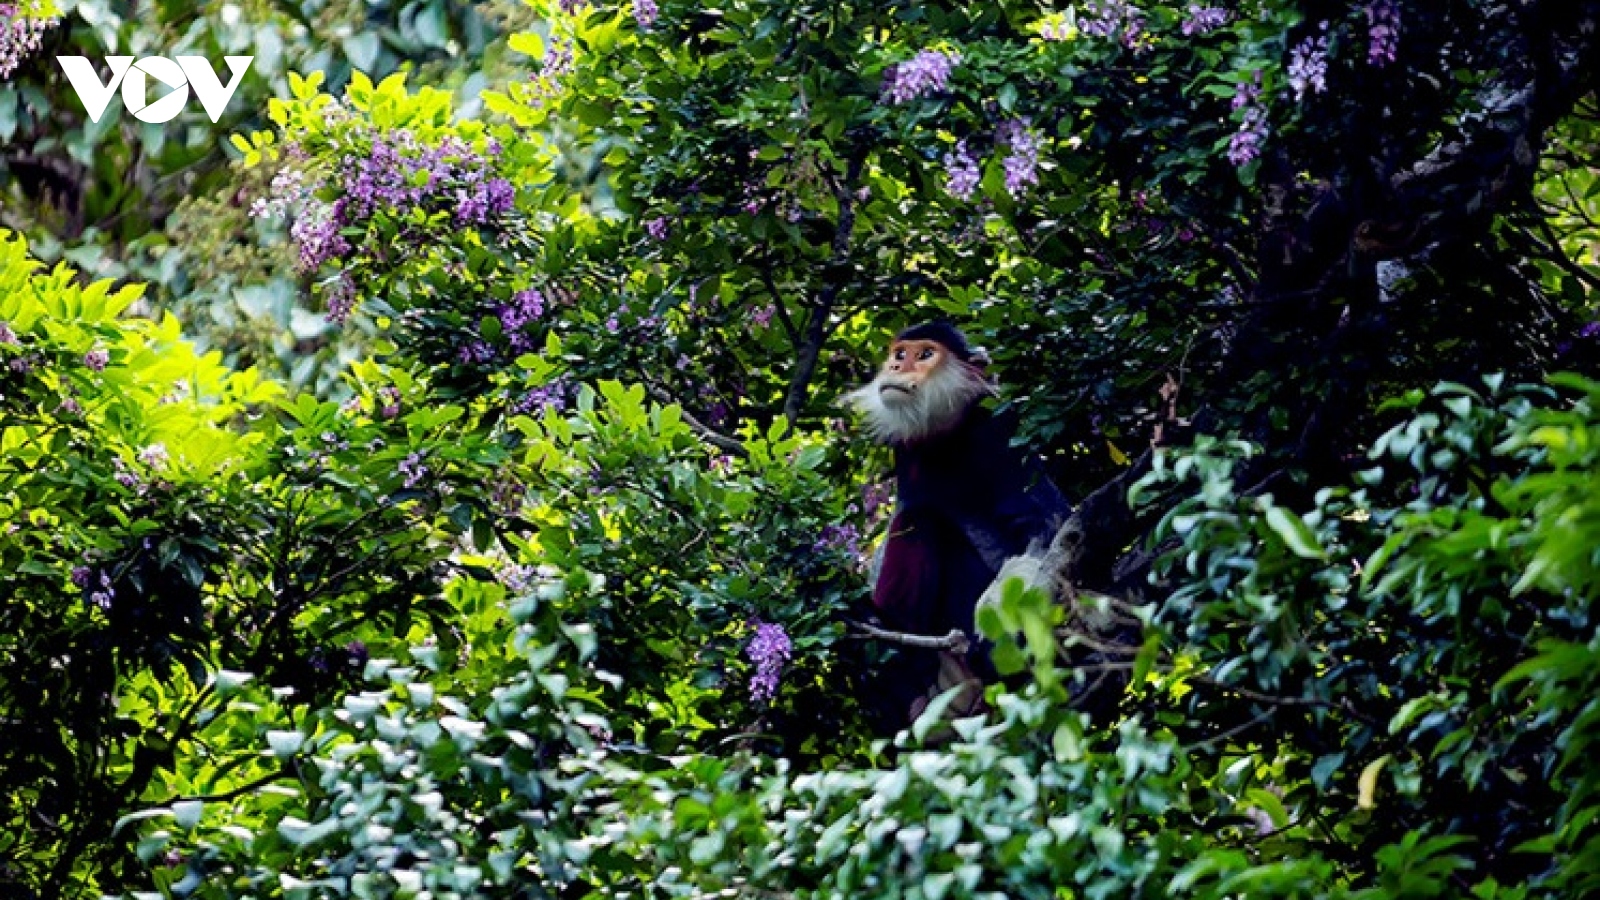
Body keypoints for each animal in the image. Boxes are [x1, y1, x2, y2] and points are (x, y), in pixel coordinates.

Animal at [844, 318, 1068, 723]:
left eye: (924, 354)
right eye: (900, 353)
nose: (895, 366)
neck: (945, 437)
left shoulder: (1000, 427)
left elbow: (1047, 521)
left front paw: (998, 614)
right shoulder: (908, 450)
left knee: (921, 520)